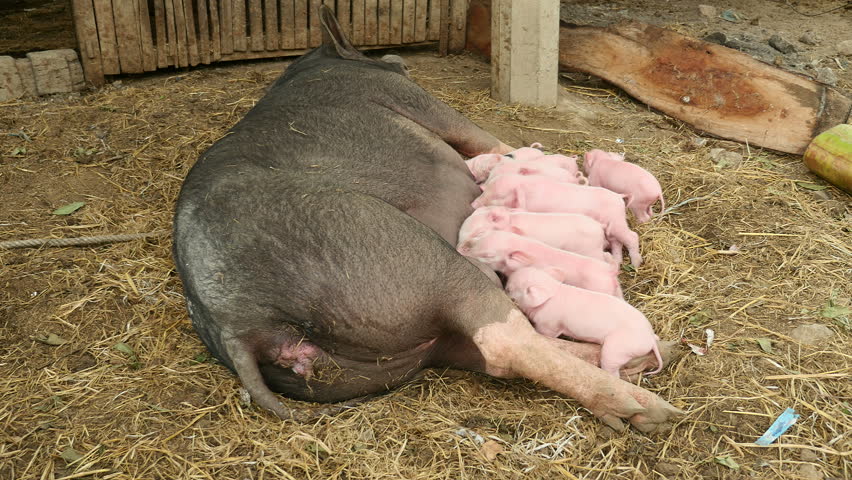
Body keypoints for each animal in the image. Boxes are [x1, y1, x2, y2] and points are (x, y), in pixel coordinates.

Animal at [506, 267, 663, 377]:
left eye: (510, 289)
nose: (506, 282)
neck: (551, 292)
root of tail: (650, 339)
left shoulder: (549, 325)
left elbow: (545, 334)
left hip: (616, 350)